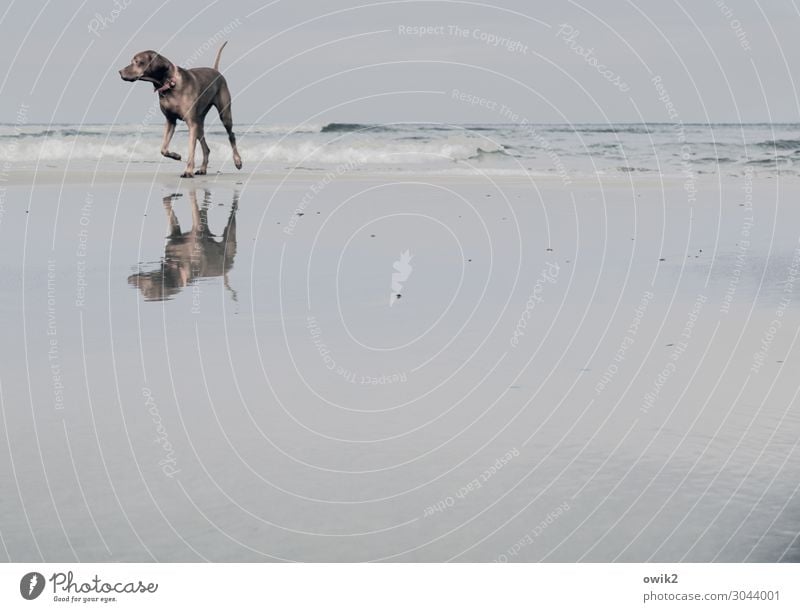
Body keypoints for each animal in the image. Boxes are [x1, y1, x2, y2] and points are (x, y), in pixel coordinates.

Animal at [119, 42, 241, 177]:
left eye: (137, 61)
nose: (119, 71)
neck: (170, 84)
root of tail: (216, 71)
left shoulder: (191, 123)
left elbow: (191, 150)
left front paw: (188, 171)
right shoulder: (170, 121)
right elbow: (163, 149)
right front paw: (176, 155)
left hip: (224, 114)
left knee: (231, 135)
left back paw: (237, 161)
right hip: (199, 122)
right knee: (206, 148)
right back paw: (203, 169)